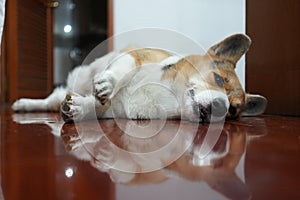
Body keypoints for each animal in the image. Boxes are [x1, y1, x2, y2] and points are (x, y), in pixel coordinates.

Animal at [11, 33, 268, 122]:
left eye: (233, 110)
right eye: (218, 79)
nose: (221, 107)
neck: (171, 95)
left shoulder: (117, 110)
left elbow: (98, 109)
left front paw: (79, 109)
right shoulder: (136, 56)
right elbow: (122, 70)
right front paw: (107, 84)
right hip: (77, 79)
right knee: (50, 100)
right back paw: (23, 104)